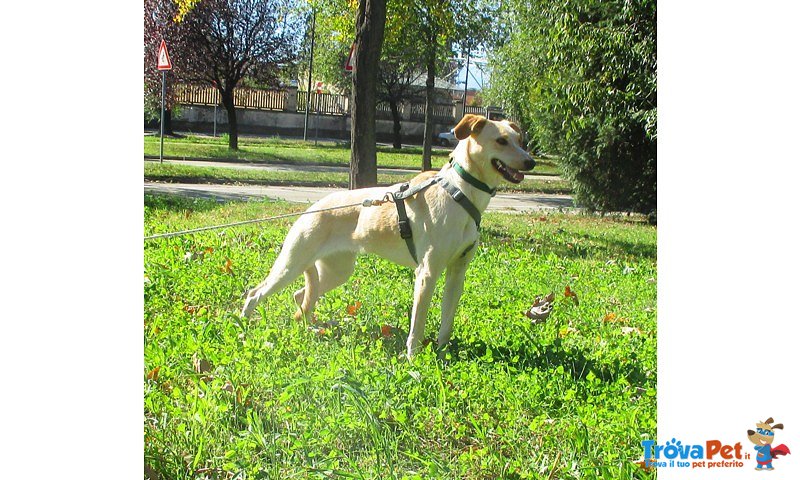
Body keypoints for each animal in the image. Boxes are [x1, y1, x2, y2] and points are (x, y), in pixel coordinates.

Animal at [241, 114, 536, 358]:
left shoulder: (457, 272)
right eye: (501, 141)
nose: (531, 161)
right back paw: (244, 324)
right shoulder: (427, 273)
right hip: (291, 264)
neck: (460, 191)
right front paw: (413, 359)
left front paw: (443, 355)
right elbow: (418, 323)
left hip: (337, 271)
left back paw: (311, 327)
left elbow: (447, 322)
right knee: (256, 292)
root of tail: (312, 208)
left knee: (301, 295)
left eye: (520, 140)